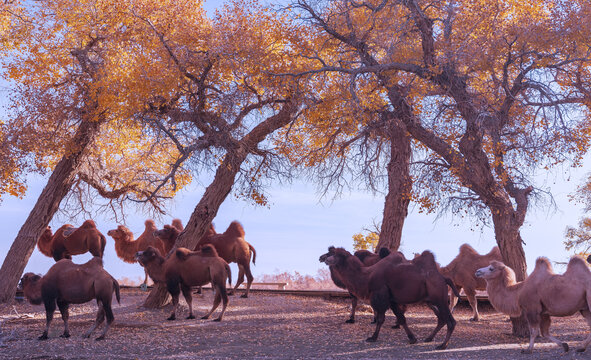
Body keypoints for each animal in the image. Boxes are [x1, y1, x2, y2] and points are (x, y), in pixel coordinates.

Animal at [324, 248, 458, 348]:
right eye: (332, 253)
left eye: (338, 254)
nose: (325, 259)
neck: (367, 277)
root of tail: (443, 278)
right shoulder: (392, 300)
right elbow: (402, 319)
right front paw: (412, 338)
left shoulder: (381, 296)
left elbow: (380, 319)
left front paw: (372, 337)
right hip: (431, 300)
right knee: (442, 319)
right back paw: (429, 338)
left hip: (439, 299)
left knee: (451, 321)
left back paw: (442, 345)